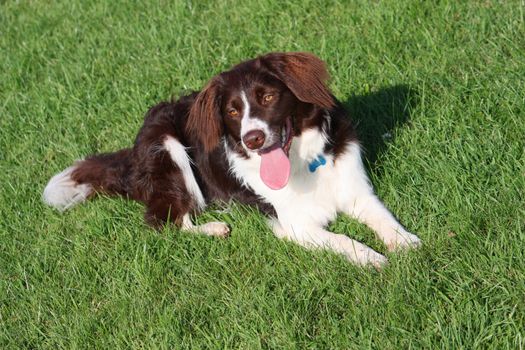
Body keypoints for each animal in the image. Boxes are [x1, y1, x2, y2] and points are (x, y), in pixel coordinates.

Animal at [43, 52, 420, 266]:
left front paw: (406, 244)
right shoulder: (295, 224)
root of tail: (131, 155)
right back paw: (213, 228)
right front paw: (373, 259)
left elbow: (384, 218)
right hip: (167, 147)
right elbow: (343, 239)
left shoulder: (356, 190)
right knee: (165, 221)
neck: (302, 160)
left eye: (267, 97)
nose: (253, 138)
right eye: (233, 111)